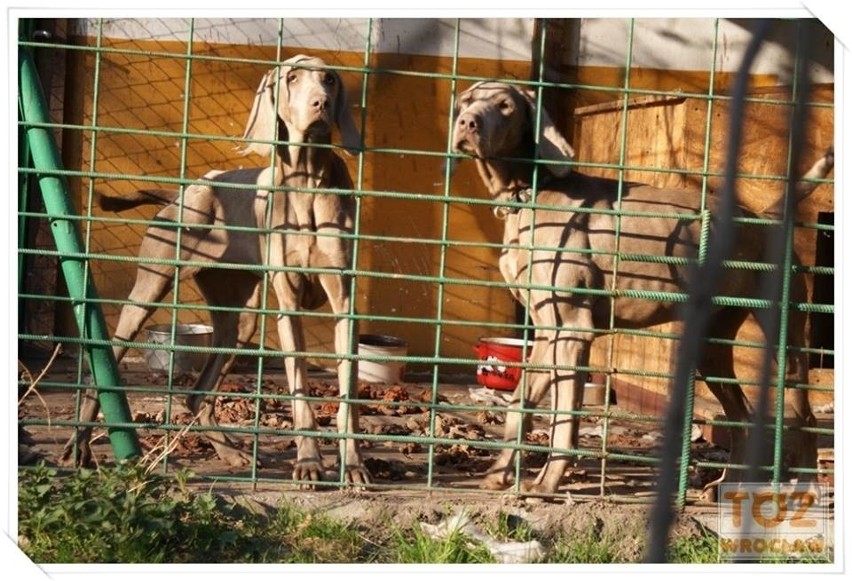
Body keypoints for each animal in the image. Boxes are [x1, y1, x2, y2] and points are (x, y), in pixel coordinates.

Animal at [65, 55, 372, 484]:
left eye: (328, 79)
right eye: (293, 78)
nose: (321, 105)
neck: (308, 182)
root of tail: (183, 191)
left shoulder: (344, 299)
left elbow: (348, 392)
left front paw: (354, 464)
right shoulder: (288, 305)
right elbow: (298, 386)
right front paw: (309, 463)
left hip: (239, 318)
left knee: (196, 395)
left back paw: (230, 453)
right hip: (147, 291)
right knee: (102, 373)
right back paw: (79, 446)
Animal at [452, 80, 832, 494]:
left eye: (505, 106)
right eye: (466, 101)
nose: (467, 123)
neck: (528, 195)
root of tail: (765, 216)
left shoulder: (572, 330)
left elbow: (564, 419)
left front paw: (547, 484)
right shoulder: (548, 330)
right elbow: (520, 405)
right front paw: (499, 473)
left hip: (783, 341)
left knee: (805, 418)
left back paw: (806, 486)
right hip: (711, 348)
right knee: (743, 418)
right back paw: (725, 485)